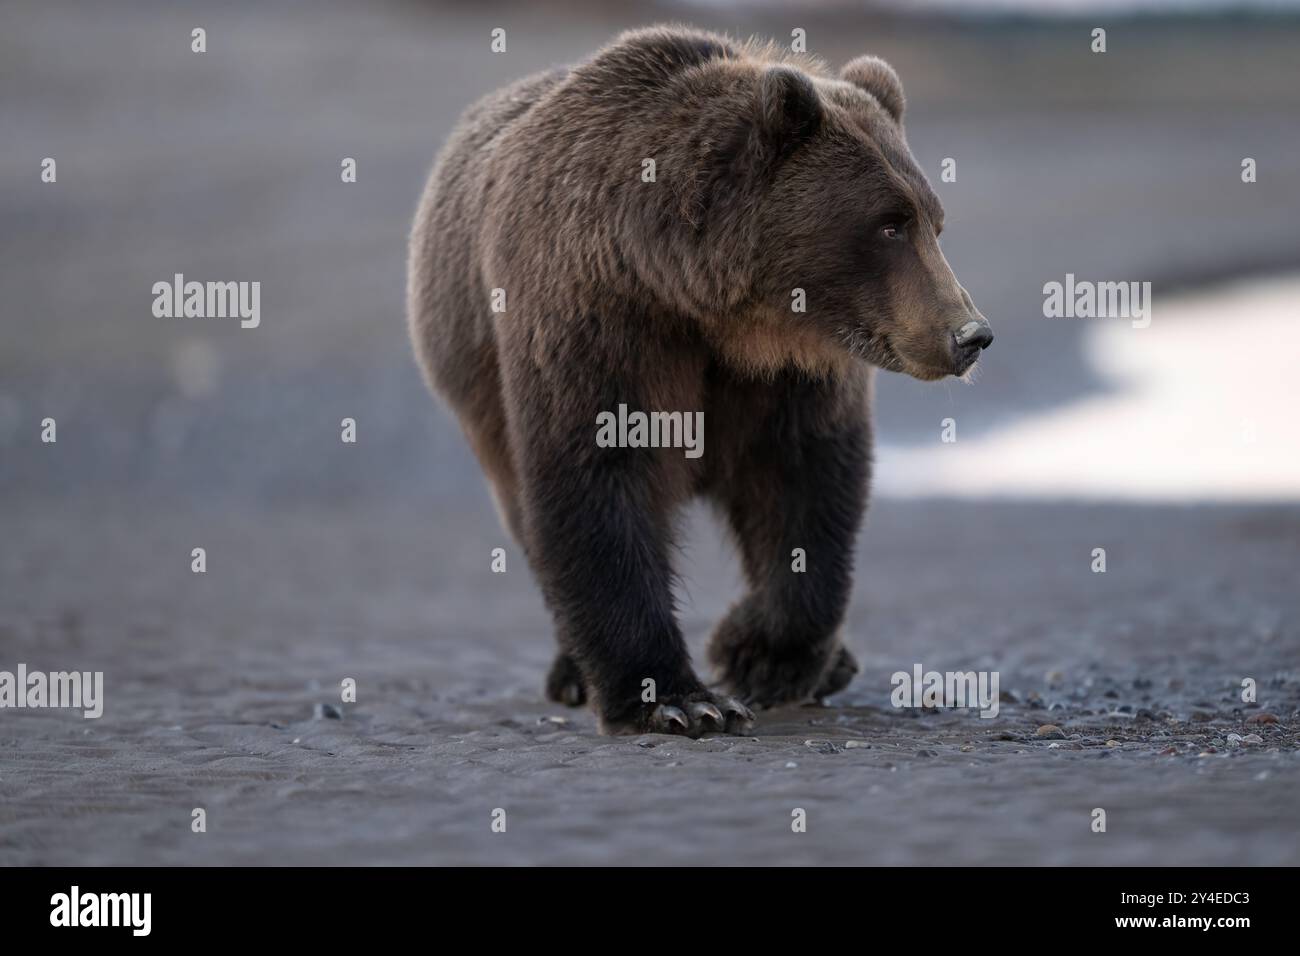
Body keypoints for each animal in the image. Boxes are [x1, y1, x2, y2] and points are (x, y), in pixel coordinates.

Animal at [400, 24, 987, 738]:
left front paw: (757, 654)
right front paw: (681, 699)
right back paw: (572, 670)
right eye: (888, 223)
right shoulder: (594, 319)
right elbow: (599, 479)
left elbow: (808, 486)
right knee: (528, 518)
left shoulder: (789, 374)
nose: (969, 335)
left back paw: (836, 663)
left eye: (933, 220)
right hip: (478, 394)